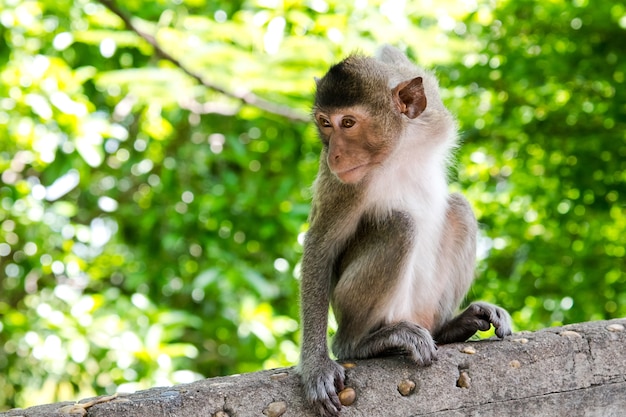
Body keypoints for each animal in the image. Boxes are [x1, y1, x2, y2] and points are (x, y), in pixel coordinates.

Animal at [298, 45, 512, 416]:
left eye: (348, 123)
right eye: (325, 123)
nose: (335, 154)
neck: (396, 150)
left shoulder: (433, 113)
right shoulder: (345, 186)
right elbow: (321, 247)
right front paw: (316, 367)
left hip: (425, 306)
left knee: (460, 208)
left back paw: (449, 327)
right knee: (400, 223)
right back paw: (363, 342)